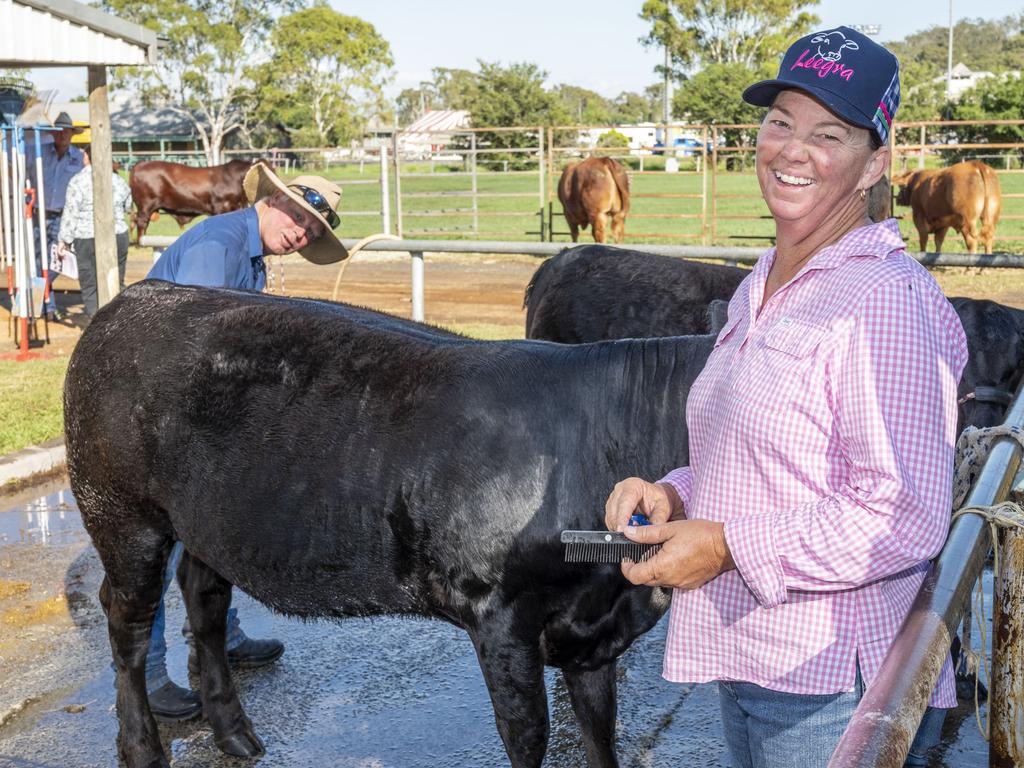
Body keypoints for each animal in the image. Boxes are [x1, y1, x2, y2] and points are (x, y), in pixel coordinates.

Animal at [66, 282, 720, 768]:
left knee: (203, 600)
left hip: (206, 522)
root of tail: (136, 297)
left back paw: (234, 733)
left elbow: (599, 732)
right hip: (121, 514)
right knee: (127, 625)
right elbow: (528, 735)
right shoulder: (498, 614)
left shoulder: (592, 626)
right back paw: (142, 750)